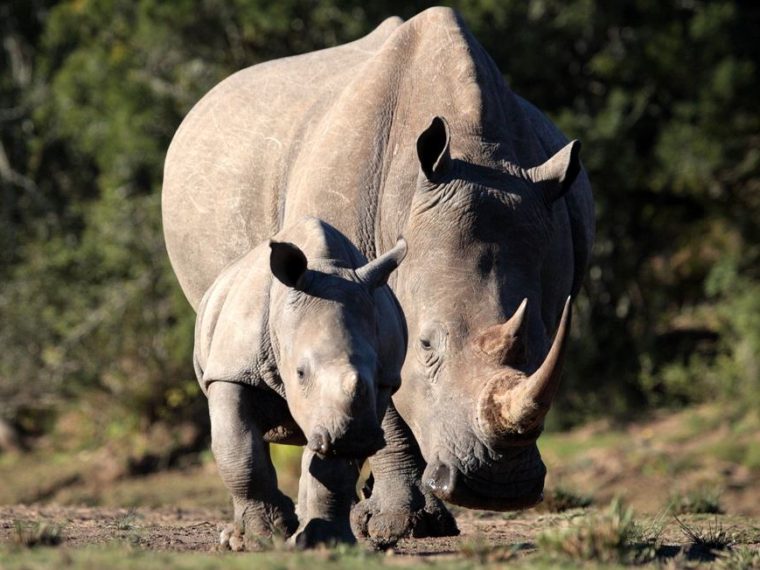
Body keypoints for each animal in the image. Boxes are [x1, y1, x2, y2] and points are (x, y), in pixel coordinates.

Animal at [193, 217, 407, 548]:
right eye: (301, 373)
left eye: (375, 368)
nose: (354, 436)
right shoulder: (232, 371)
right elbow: (238, 451)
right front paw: (266, 536)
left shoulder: (383, 384)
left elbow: (334, 468)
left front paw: (324, 541)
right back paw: (237, 539)